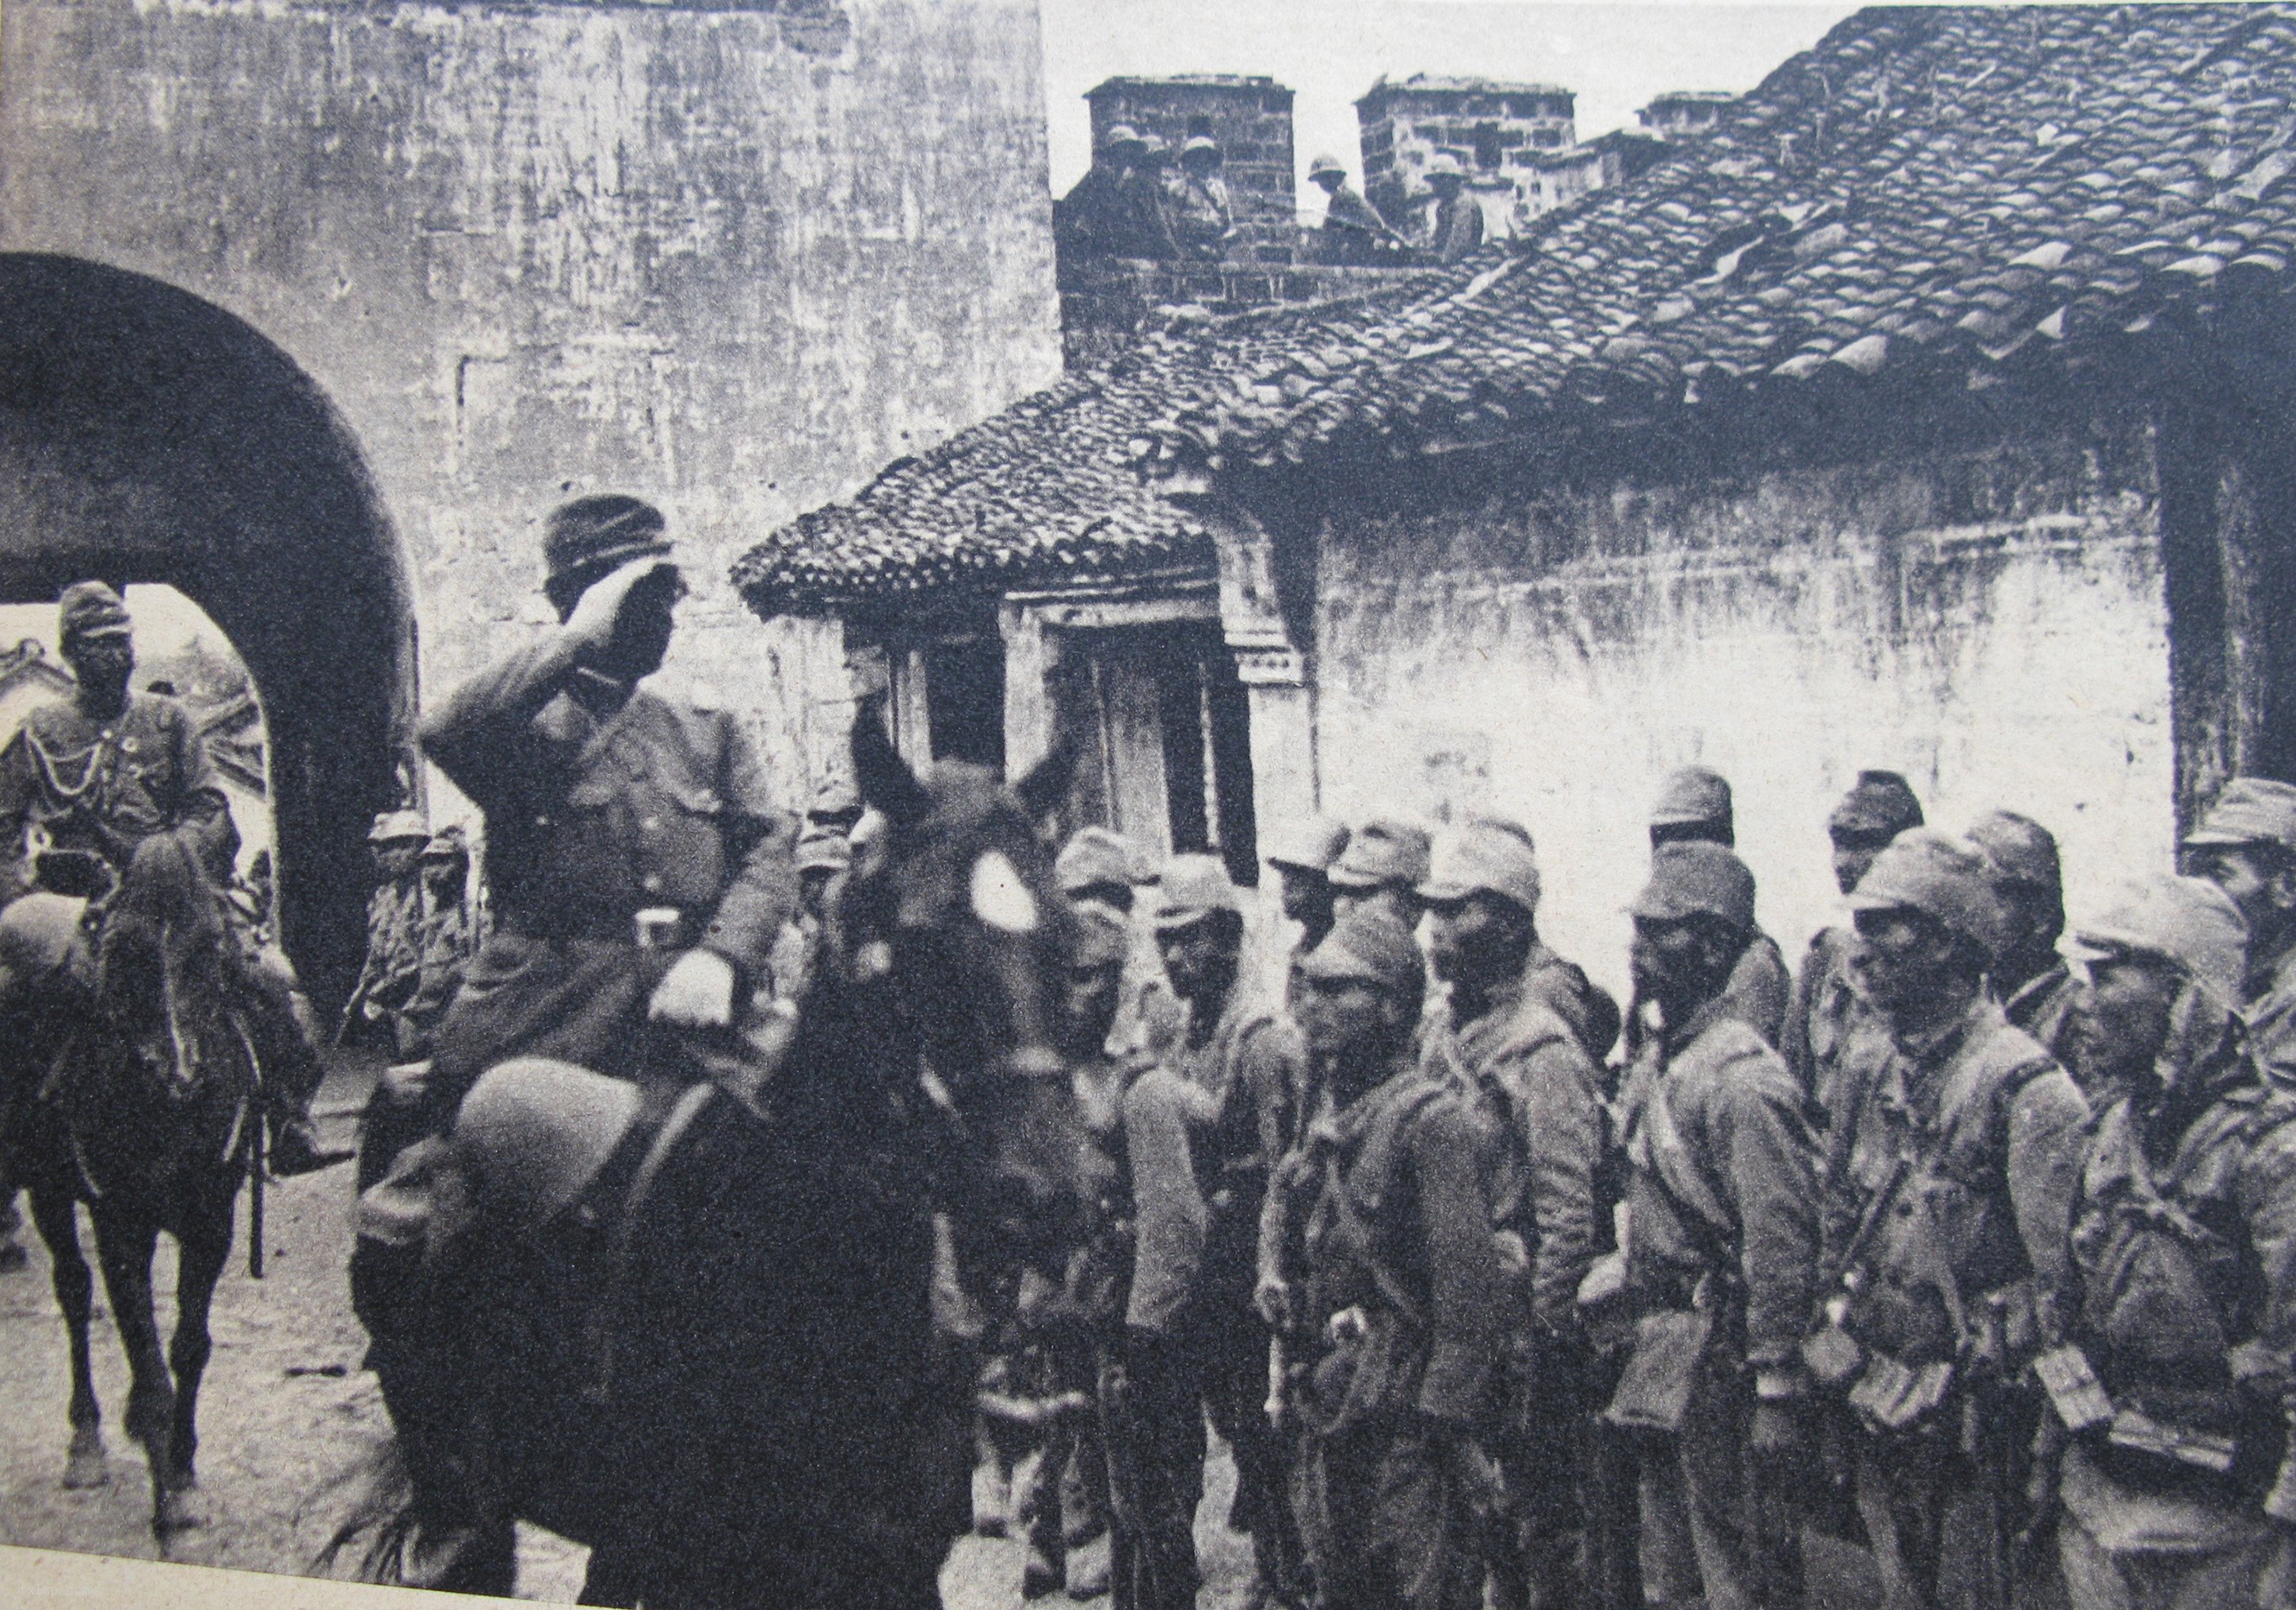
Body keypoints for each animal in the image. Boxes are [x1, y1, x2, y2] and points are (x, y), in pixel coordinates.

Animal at [0, 836, 261, 1534]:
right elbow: (140, 1344)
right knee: (72, 1289)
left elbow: (188, 1345)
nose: (179, 1076)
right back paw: (87, 1443)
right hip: (48, 1189)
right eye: (123, 948)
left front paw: (184, 1468)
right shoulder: (120, 1222)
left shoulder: (211, 1221)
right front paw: (166, 1483)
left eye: (211, 945)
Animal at [349, 721, 1102, 1608]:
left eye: (1067, 940)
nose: (1048, 1192)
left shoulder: (893, 1564)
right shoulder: (699, 1563)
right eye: (920, 939)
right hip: (460, 1478)